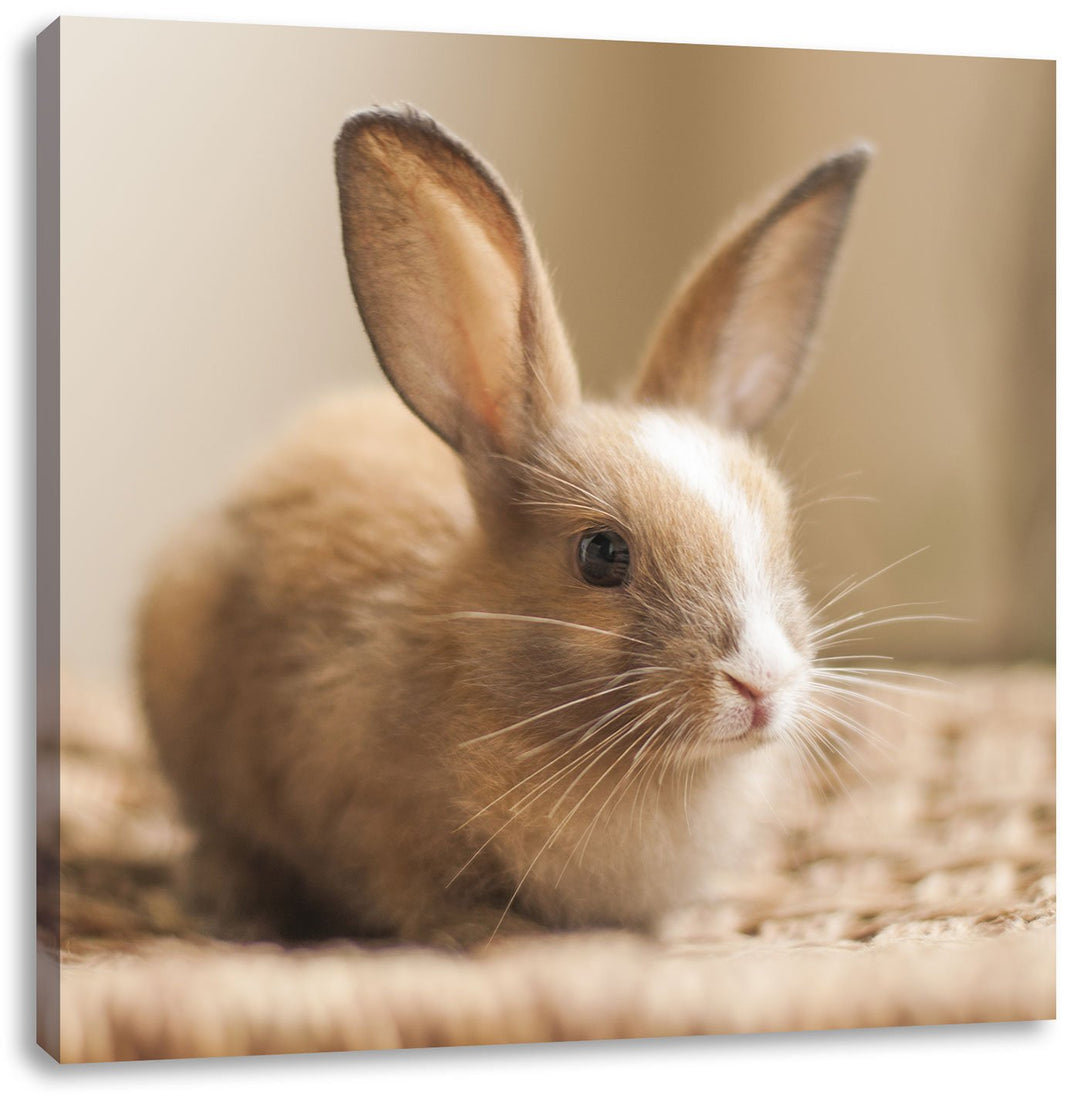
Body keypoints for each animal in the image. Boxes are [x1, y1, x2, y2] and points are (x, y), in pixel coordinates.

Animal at [136, 105, 870, 947]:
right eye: (601, 554)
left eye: (781, 533)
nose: (761, 682)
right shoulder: (376, 829)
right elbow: (416, 898)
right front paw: (492, 933)